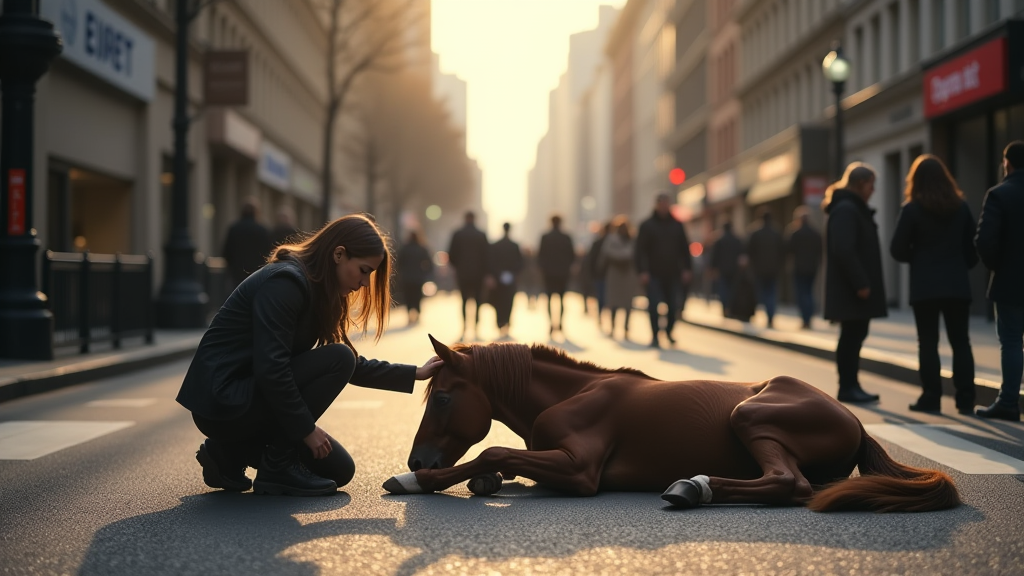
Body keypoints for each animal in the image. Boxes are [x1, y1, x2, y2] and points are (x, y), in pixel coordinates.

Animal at [385, 336, 958, 510]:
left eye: (443, 397)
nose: (417, 456)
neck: (574, 393)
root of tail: (857, 421)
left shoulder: (580, 470)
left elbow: (494, 451)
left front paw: (414, 480)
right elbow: (498, 465)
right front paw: (482, 482)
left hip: (751, 414)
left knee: (787, 483)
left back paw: (692, 486)